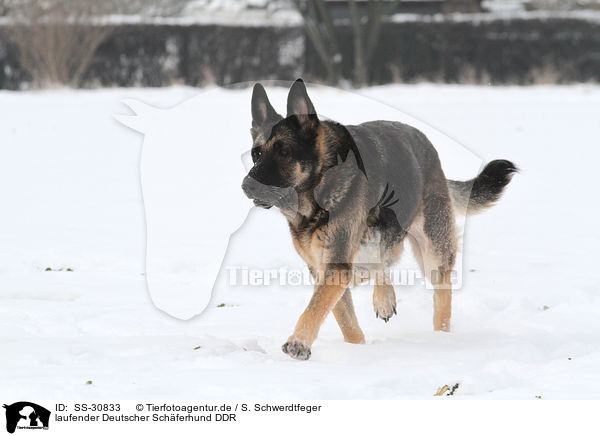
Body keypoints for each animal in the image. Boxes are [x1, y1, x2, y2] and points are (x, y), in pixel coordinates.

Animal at [240, 80, 516, 360]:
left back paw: (441, 338)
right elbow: (347, 322)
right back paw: (385, 298)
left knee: (441, 291)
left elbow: (315, 308)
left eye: (284, 151)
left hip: (432, 250)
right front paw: (357, 350)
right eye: (256, 153)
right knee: (382, 261)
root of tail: (428, 148)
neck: (320, 188)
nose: (246, 186)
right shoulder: (324, 269)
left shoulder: (336, 266)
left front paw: (298, 342)